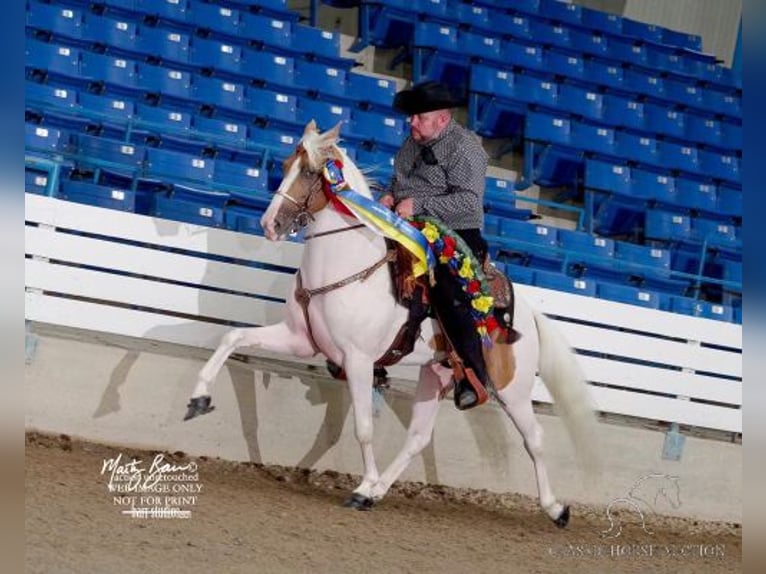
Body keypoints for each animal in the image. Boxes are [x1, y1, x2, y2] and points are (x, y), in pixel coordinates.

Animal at [186, 122, 600, 532]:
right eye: (286, 165)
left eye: (308, 172)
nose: (269, 224)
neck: (345, 268)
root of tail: (528, 314)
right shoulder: (299, 340)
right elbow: (233, 336)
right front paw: (198, 399)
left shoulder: (358, 361)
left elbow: (363, 427)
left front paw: (362, 482)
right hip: (436, 374)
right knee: (418, 437)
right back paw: (377, 492)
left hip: (511, 388)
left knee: (535, 439)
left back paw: (556, 509)